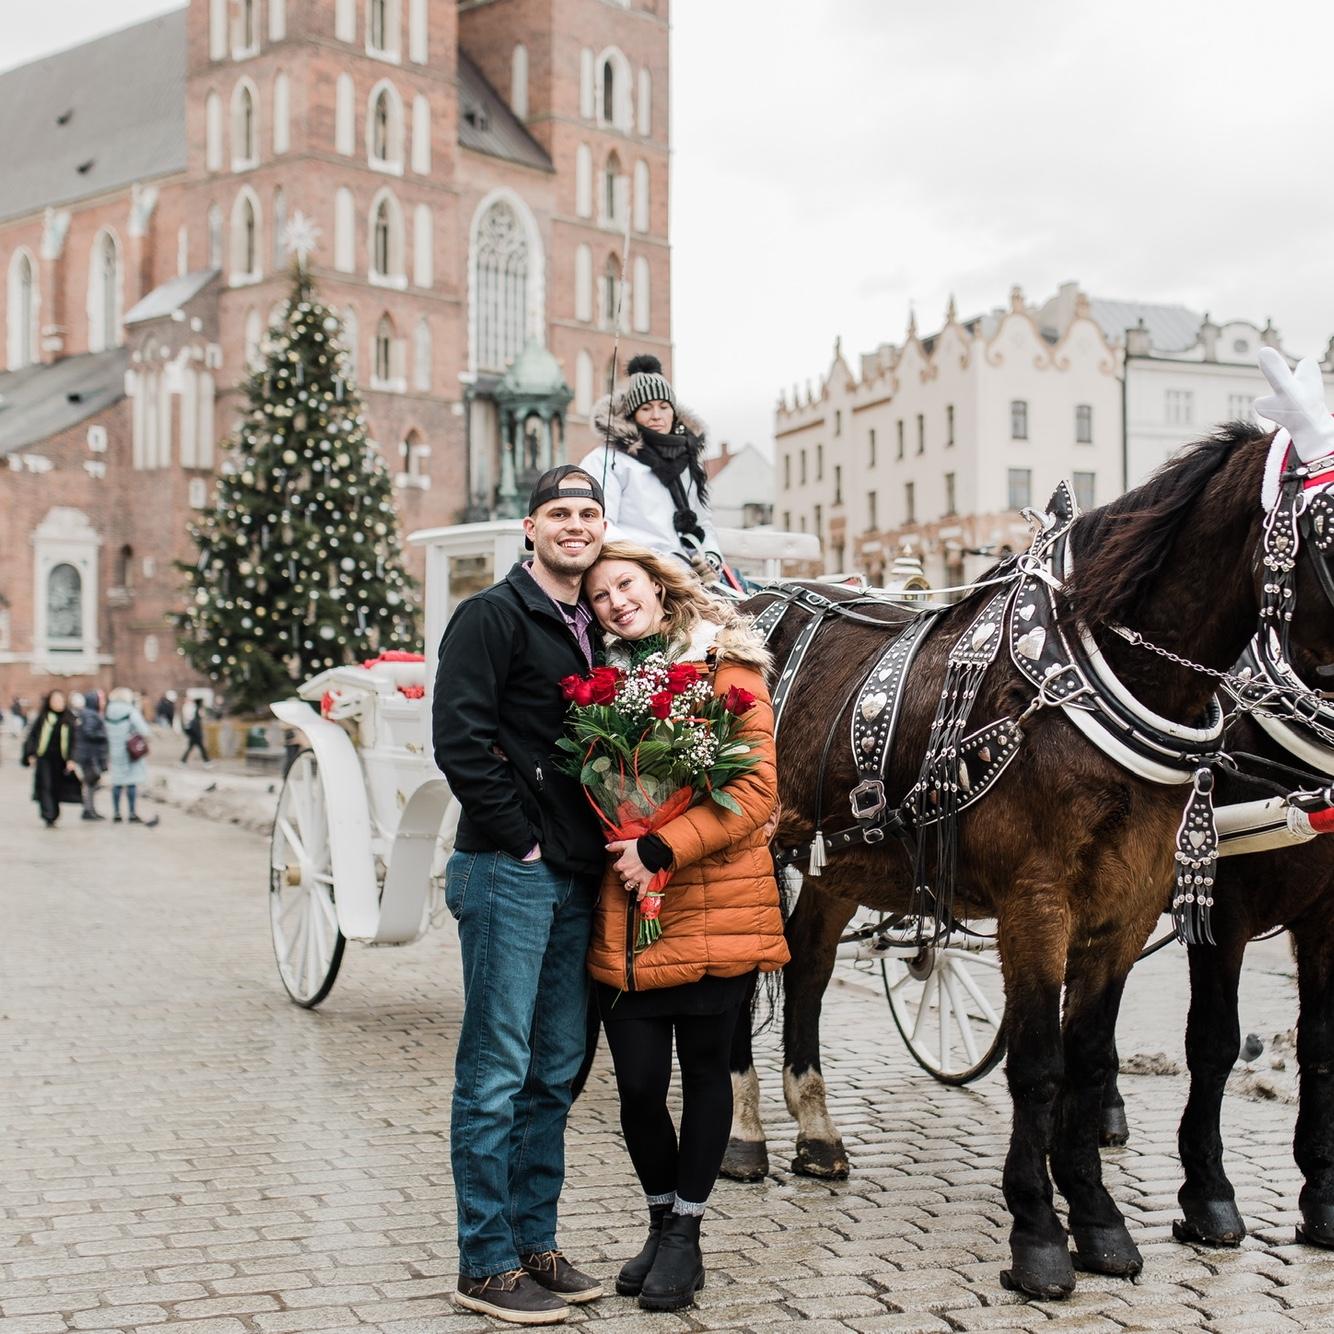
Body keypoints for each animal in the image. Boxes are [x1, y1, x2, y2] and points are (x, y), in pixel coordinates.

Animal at [731, 421, 1334, 1296]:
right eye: (1328, 530)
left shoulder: (1128, 910)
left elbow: (1088, 1061)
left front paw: (1100, 1220)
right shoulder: (1043, 905)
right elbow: (1043, 1064)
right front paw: (1042, 1237)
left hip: (839, 863)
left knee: (808, 967)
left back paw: (814, 1128)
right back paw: (744, 1134)